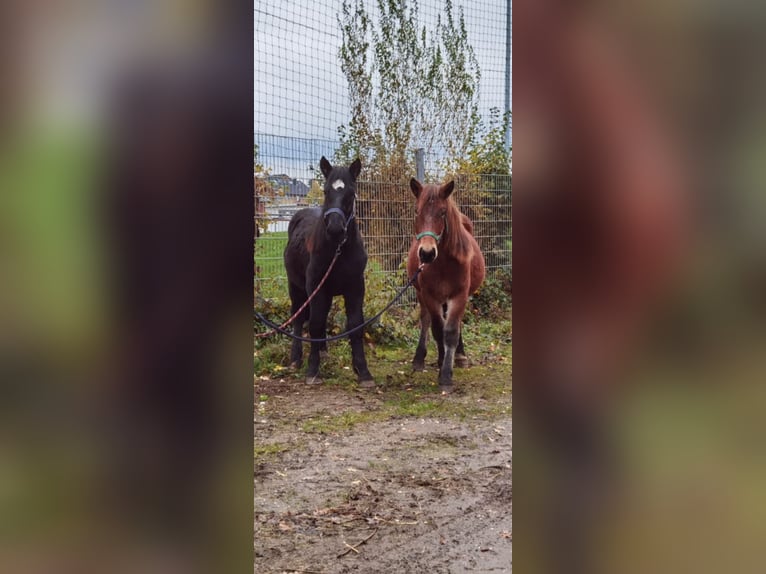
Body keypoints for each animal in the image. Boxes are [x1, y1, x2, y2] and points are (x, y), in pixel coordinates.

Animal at [284, 158, 376, 390]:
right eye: (325, 191)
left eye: (352, 193)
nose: (335, 228)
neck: (338, 250)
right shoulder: (316, 288)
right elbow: (314, 325)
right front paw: (312, 371)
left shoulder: (355, 289)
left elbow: (355, 326)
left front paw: (363, 372)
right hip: (296, 288)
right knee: (298, 318)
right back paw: (295, 359)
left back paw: (323, 352)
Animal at [408, 180, 486, 392]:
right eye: (417, 211)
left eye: (443, 212)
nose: (426, 253)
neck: (443, 263)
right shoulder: (430, 296)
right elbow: (437, 329)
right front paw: (442, 363)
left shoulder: (459, 296)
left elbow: (450, 331)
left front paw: (446, 375)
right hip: (422, 295)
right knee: (426, 320)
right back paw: (419, 359)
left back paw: (460, 356)